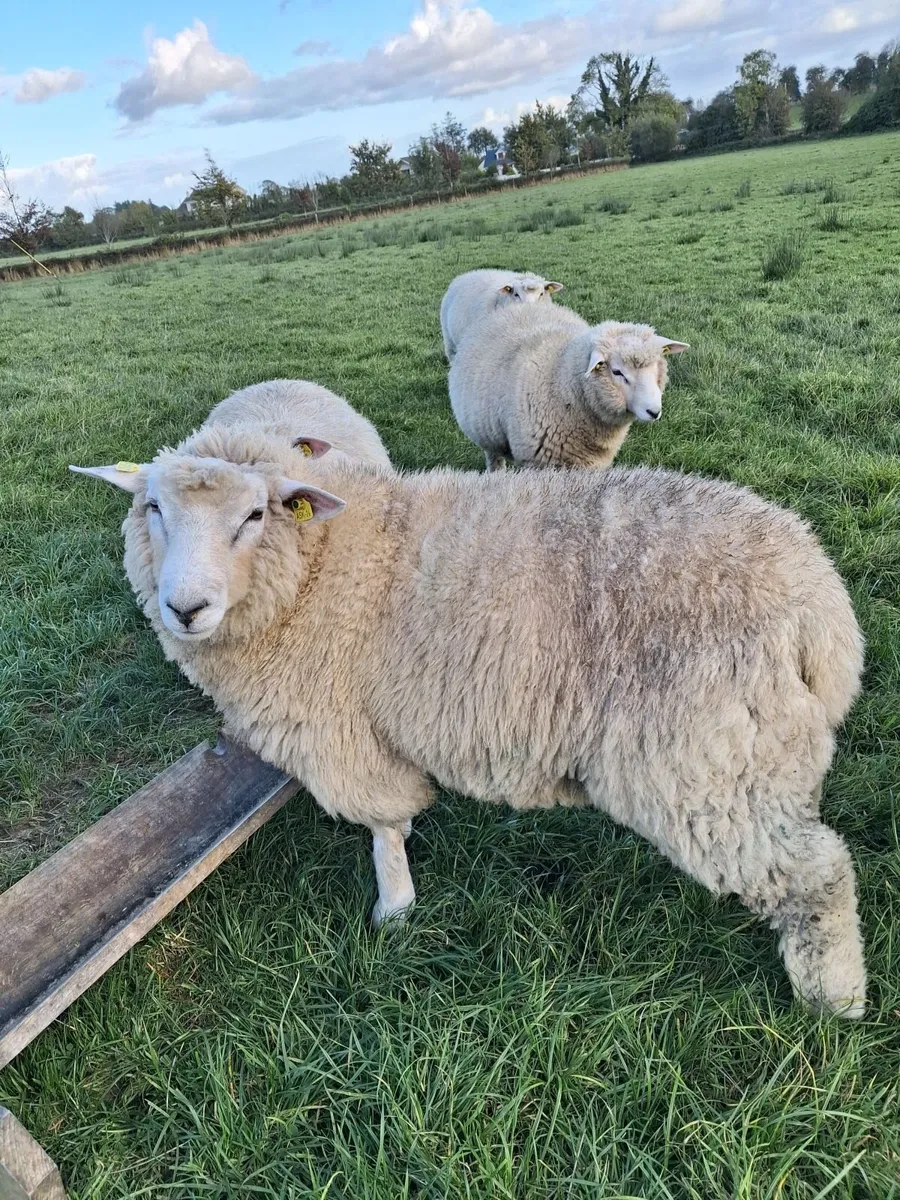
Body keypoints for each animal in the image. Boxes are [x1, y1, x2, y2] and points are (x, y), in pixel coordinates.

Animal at [71, 435, 867, 1018]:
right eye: (153, 509)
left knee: (818, 874)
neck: (325, 565)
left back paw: (836, 1002)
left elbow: (383, 823)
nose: (185, 608)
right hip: (756, 753)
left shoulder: (344, 731)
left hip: (709, 760)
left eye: (255, 516)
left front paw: (394, 909)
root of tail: (823, 607)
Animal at [449, 304, 689, 471]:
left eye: (656, 367)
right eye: (617, 372)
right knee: (495, 460)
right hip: (488, 438)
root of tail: (515, 307)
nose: (654, 411)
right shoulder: (537, 462)